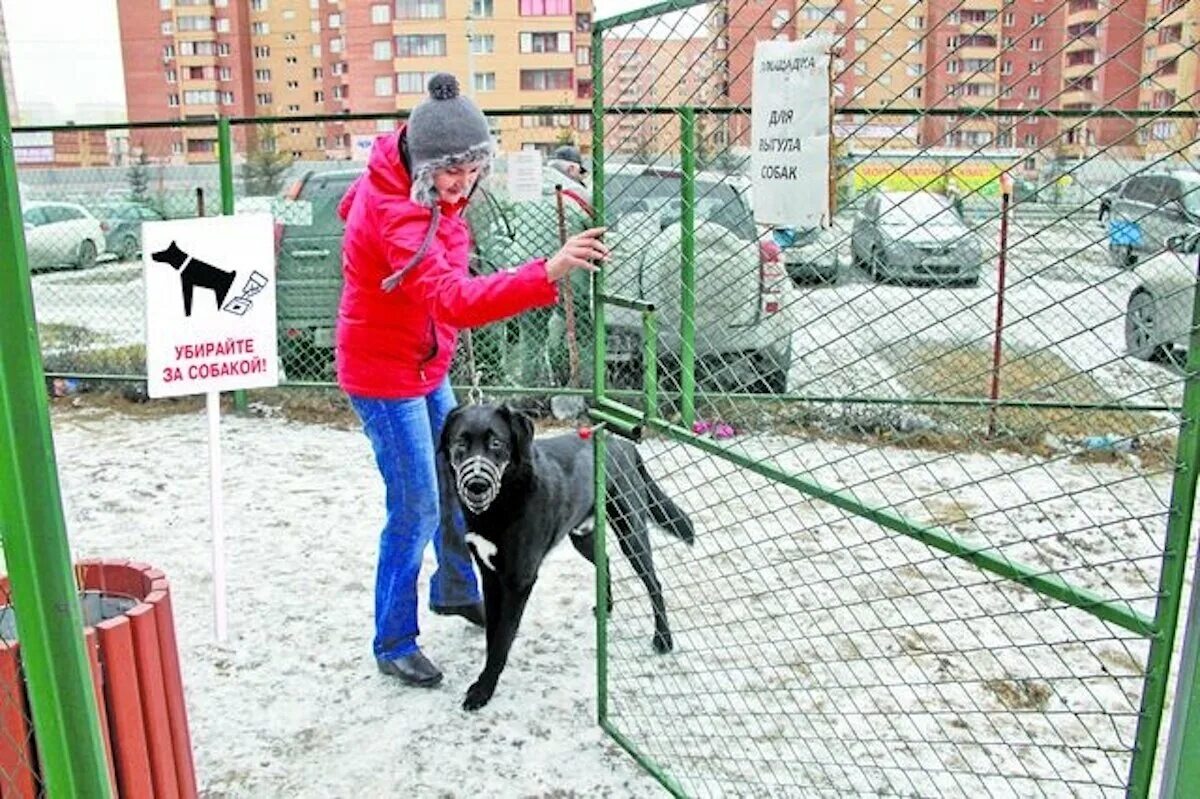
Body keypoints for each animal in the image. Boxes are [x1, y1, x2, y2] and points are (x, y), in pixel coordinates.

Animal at [439, 405, 696, 710]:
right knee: (606, 560)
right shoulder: (490, 576)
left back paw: (663, 640)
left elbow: (502, 640)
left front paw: (483, 691)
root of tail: (625, 444)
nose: (476, 485)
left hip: (631, 532)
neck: (501, 503)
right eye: (460, 444)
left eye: (496, 444)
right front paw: (484, 681)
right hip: (581, 536)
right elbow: (493, 634)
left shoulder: (518, 581)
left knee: (653, 582)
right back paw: (606, 607)